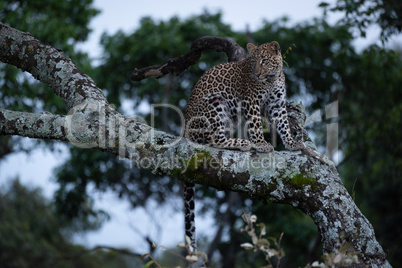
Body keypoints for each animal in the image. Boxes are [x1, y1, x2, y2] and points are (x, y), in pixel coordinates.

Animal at [182, 41, 304, 253]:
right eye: (253, 62)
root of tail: (184, 130)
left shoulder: (277, 104)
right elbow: (255, 124)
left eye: (264, 61)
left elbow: (283, 124)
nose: (257, 74)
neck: (271, 79)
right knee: (213, 139)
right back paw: (243, 143)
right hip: (216, 103)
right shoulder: (251, 100)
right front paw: (261, 144)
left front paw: (291, 143)